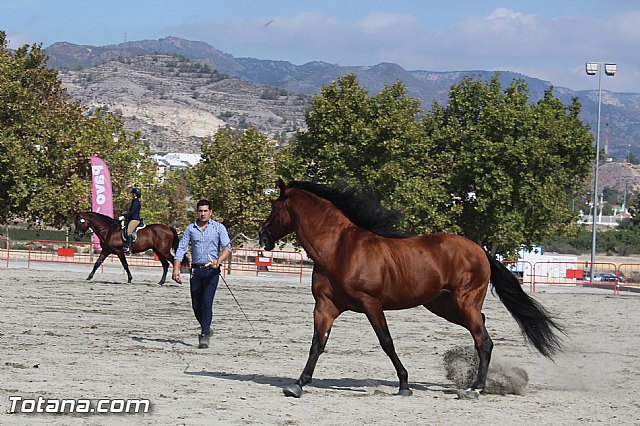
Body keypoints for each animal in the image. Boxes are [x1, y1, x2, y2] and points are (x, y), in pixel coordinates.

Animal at [258, 179, 564, 398]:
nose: (262, 237)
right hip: (445, 305)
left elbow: (386, 342)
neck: (339, 249)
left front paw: (404, 385)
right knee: (482, 330)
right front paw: (298, 384)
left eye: (274, 208)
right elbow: (317, 344)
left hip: (465, 301)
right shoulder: (325, 306)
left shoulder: (371, 303)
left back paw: (475, 388)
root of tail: (481, 250)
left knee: (483, 340)